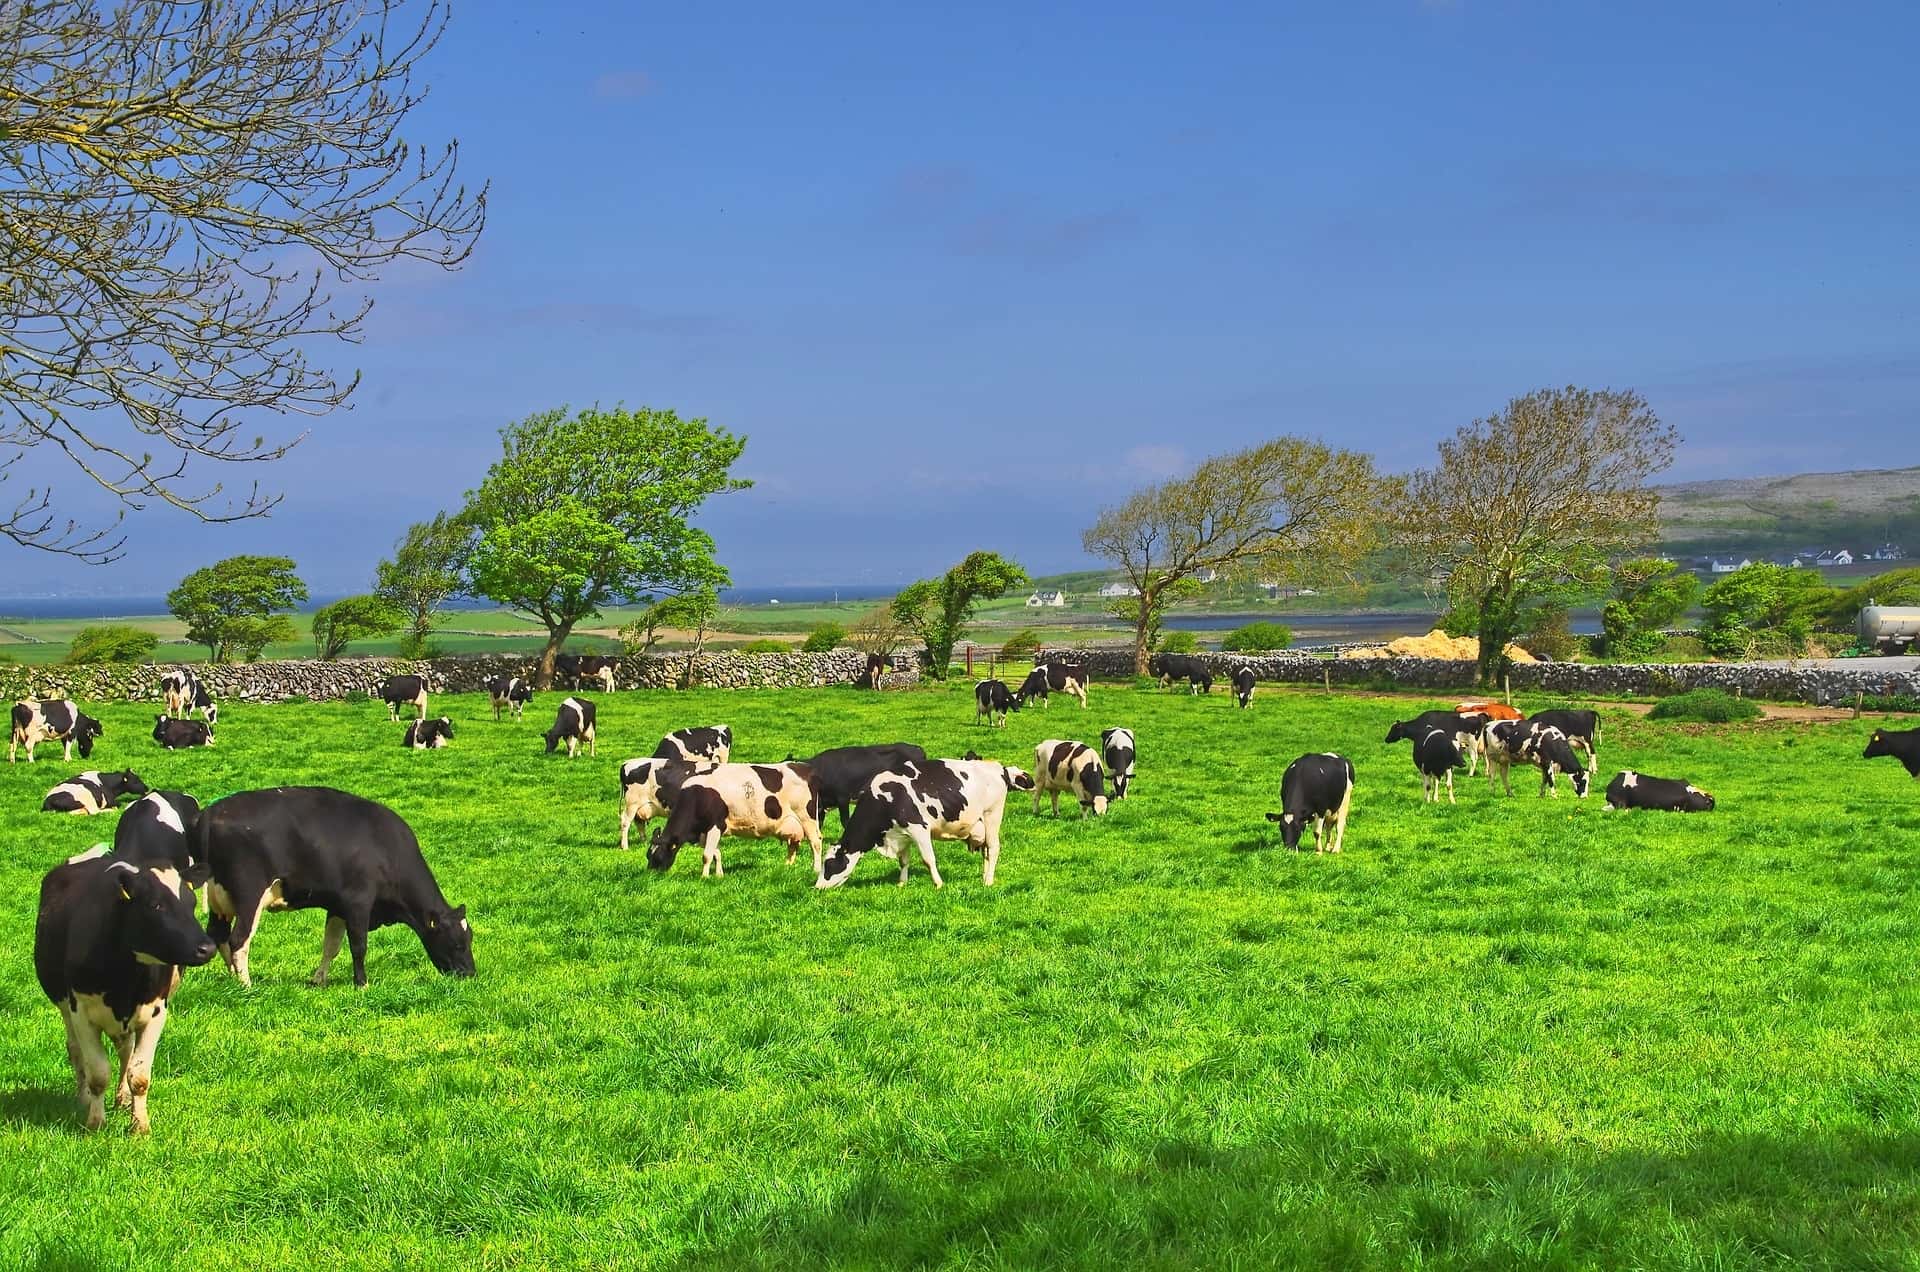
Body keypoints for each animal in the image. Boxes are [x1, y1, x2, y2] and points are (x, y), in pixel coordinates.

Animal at [34, 855, 216, 1133]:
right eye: (156, 905)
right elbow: (98, 1073)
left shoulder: (156, 1012)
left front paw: (139, 1126)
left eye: (192, 903)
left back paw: (123, 1098)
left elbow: (139, 1075)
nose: (207, 948)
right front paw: (95, 1123)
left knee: (125, 1051)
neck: (125, 982)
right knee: (76, 1051)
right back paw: (84, 1099)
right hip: (66, 1010)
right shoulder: (82, 1013)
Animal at [194, 786, 474, 989]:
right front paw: (362, 984)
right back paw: (246, 985)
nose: (471, 973)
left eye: (470, 938)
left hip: (220, 900)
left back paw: (233, 978)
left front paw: (319, 979)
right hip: (249, 896)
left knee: (219, 935)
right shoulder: (358, 902)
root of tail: (213, 810)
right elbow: (358, 946)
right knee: (238, 940)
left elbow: (331, 945)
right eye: (458, 944)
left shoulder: (338, 905)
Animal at [645, 762, 824, 878]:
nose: (650, 875)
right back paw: (787, 866)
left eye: (657, 856)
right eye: (648, 855)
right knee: (793, 844)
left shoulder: (715, 825)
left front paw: (704, 877)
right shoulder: (707, 831)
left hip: (807, 818)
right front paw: (719, 875)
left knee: (815, 842)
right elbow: (716, 853)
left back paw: (815, 869)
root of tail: (804, 768)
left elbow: (707, 855)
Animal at [816, 757, 1032, 889]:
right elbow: (903, 861)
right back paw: (984, 877)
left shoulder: (919, 829)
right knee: (986, 851)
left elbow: (928, 860)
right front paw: (901, 883)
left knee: (993, 849)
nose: (817, 887)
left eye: (829, 863)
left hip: (992, 815)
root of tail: (999, 768)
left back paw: (988, 881)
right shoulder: (902, 834)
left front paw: (938, 884)